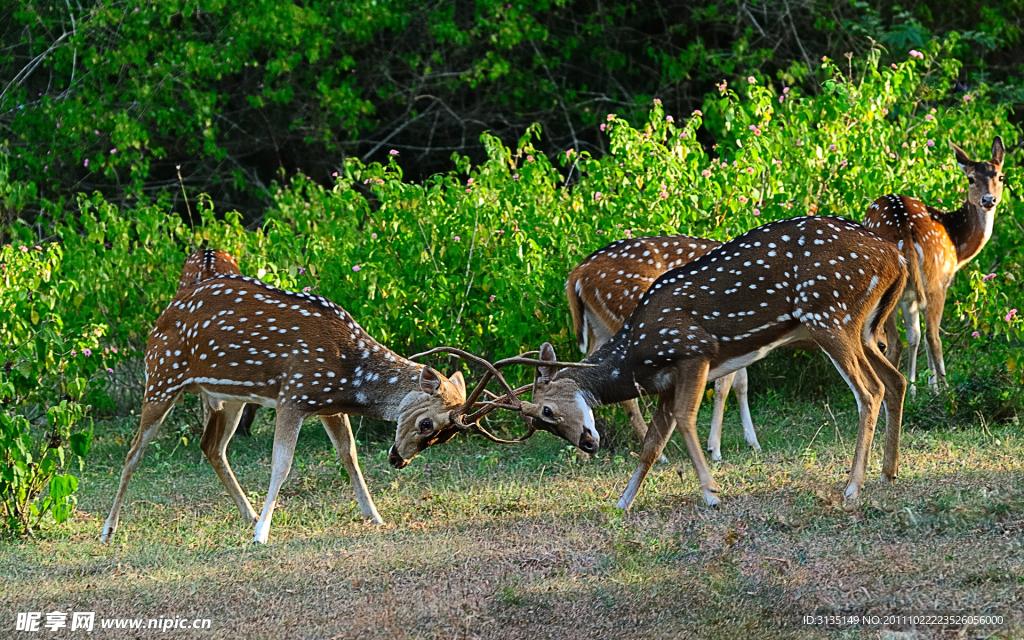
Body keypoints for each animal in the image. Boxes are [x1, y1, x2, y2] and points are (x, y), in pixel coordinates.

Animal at [102, 266, 471, 540]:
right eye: (427, 423)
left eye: (446, 436)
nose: (399, 461)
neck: (350, 374)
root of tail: (160, 317)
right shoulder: (293, 395)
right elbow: (282, 464)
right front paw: (263, 534)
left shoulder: (327, 404)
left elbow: (349, 454)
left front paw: (375, 515)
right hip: (162, 377)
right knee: (134, 452)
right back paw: (108, 529)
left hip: (230, 395)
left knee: (211, 445)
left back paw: (249, 515)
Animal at [569, 234, 761, 458]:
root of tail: (576, 275)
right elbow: (724, 386)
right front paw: (715, 449)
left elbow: (741, 382)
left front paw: (753, 442)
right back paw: (659, 454)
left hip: (600, 328)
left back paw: (582, 452)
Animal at [864, 137, 1007, 391]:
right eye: (971, 179)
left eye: (1000, 177)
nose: (988, 200)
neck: (958, 245)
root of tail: (904, 228)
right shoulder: (942, 281)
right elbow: (922, 337)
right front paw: (930, 387)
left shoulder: (910, 295)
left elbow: (914, 337)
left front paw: (915, 388)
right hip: (933, 281)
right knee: (927, 337)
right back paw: (945, 390)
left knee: (900, 340)